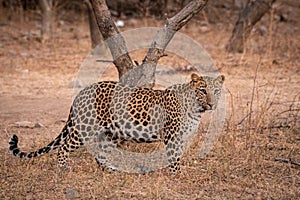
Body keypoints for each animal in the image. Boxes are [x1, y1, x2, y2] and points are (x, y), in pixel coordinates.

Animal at [8, 73, 225, 173]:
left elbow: (177, 155)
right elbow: (173, 157)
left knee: (100, 155)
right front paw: (176, 175)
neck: (196, 109)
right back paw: (64, 169)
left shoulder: (181, 138)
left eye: (216, 90)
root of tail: (82, 91)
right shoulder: (172, 136)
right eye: (203, 90)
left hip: (111, 133)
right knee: (64, 146)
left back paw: (112, 171)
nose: (212, 103)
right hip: (84, 128)